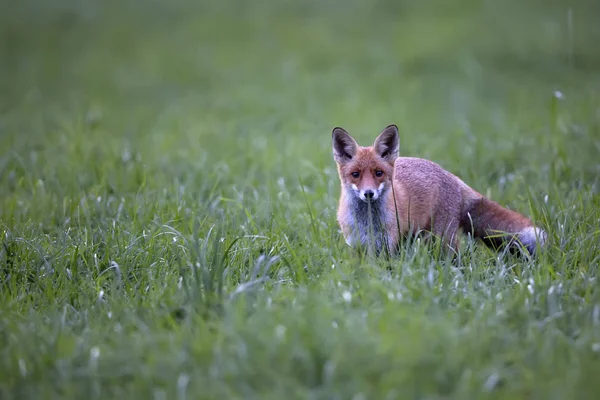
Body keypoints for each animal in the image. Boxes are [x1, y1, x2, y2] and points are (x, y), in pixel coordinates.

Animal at [332, 123, 548, 258]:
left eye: (378, 173)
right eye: (355, 174)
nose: (369, 193)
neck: (367, 222)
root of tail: (451, 176)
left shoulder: (385, 245)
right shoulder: (356, 246)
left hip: (441, 239)